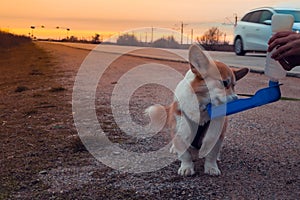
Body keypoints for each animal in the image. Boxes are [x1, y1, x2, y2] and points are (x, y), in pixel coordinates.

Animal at [145, 44, 248, 176]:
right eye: (225, 83)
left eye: (234, 86)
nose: (237, 99)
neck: (203, 106)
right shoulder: (180, 129)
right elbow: (185, 154)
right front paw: (186, 167)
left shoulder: (217, 131)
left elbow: (211, 151)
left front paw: (211, 167)